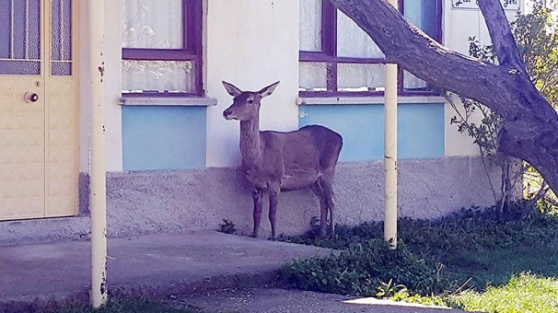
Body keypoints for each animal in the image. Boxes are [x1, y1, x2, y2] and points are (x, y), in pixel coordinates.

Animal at [224, 80, 346, 239]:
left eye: (250, 100)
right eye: (234, 99)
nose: (227, 112)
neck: (258, 158)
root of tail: (340, 138)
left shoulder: (276, 179)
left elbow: (272, 214)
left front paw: (274, 237)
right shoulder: (255, 185)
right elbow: (256, 215)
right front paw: (255, 236)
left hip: (329, 169)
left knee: (332, 200)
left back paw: (332, 234)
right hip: (313, 179)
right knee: (323, 200)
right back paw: (321, 233)